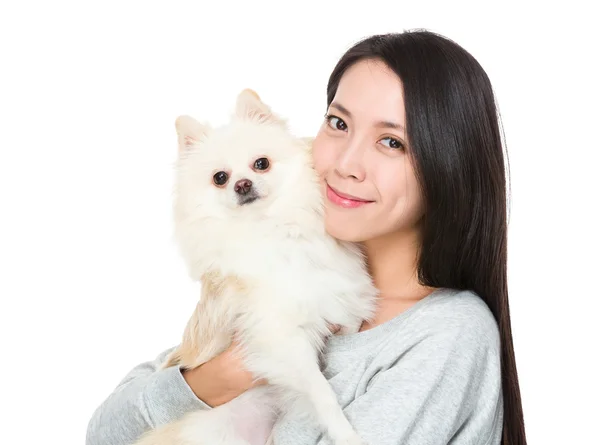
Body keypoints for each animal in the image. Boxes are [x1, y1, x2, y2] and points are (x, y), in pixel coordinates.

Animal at [135, 88, 378, 442]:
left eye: (261, 164)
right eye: (220, 178)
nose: (243, 184)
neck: (271, 228)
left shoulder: (342, 298)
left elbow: (348, 318)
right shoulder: (281, 337)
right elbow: (321, 392)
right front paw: (345, 433)